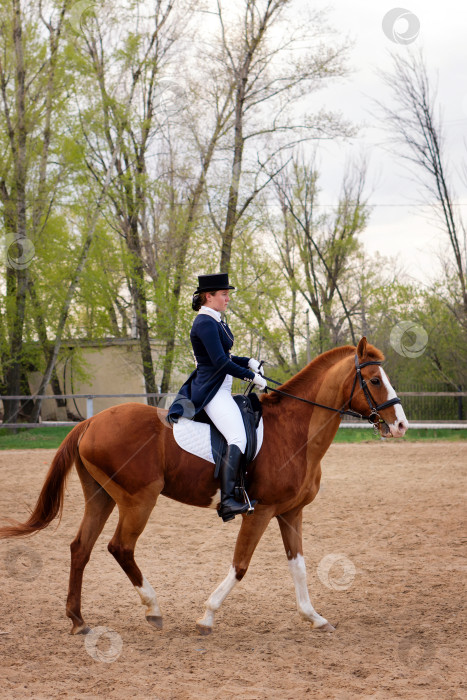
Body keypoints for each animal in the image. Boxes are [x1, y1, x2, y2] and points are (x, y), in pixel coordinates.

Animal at [0, 338, 410, 636]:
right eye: (375, 380)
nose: (401, 425)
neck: (295, 432)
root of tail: (90, 422)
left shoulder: (290, 511)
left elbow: (299, 566)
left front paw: (315, 617)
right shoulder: (260, 511)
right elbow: (241, 564)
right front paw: (207, 616)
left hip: (102, 497)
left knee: (80, 548)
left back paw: (78, 620)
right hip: (138, 500)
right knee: (120, 548)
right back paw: (153, 610)